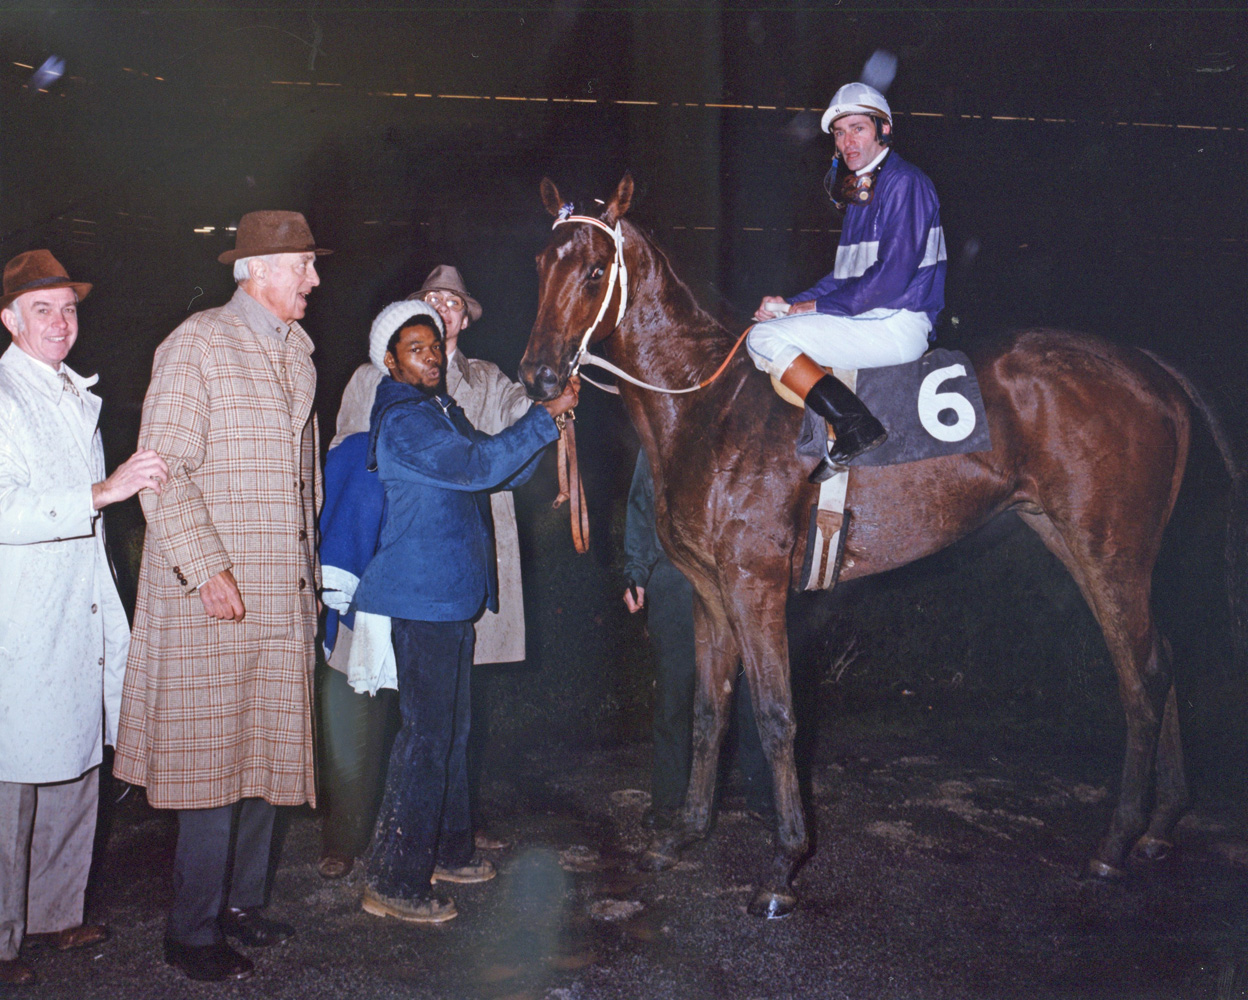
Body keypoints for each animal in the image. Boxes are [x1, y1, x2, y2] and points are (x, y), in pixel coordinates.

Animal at [516, 173, 1238, 918]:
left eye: (594, 271)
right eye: (540, 264)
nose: (538, 377)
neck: (708, 407)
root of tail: (1150, 368)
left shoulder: (755, 584)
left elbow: (775, 715)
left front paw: (784, 865)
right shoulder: (710, 591)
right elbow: (709, 712)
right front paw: (682, 835)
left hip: (1111, 551)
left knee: (1142, 676)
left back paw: (1116, 842)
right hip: (1073, 539)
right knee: (1162, 658)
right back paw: (1159, 826)